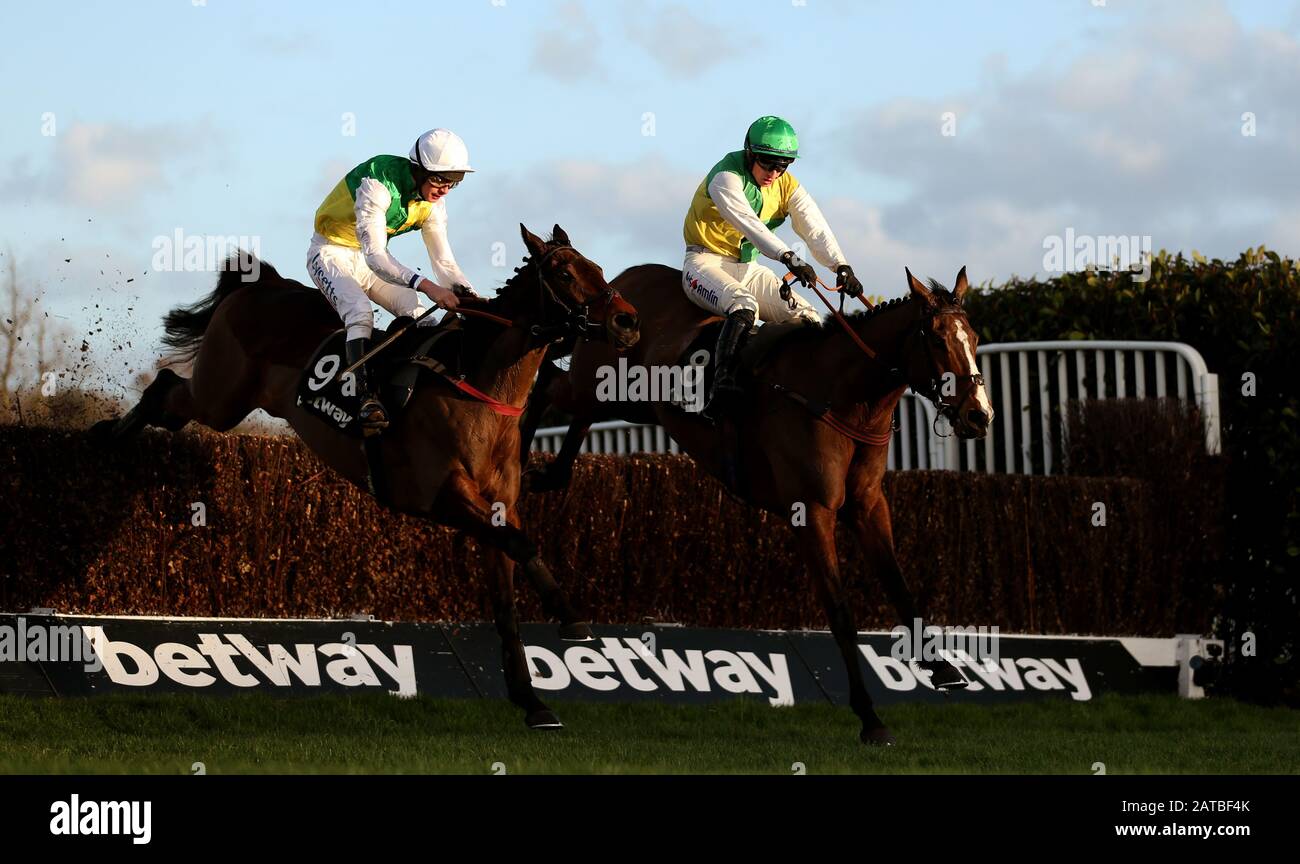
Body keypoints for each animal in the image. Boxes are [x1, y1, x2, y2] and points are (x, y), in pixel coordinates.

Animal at [522, 261, 987, 743]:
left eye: (973, 338)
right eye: (938, 340)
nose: (979, 414)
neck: (839, 394)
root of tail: (621, 281)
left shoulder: (869, 506)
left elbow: (901, 588)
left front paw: (943, 668)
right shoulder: (811, 512)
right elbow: (840, 612)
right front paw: (870, 717)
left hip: (630, 401)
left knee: (574, 410)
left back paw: (545, 475)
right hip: (599, 381)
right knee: (547, 382)